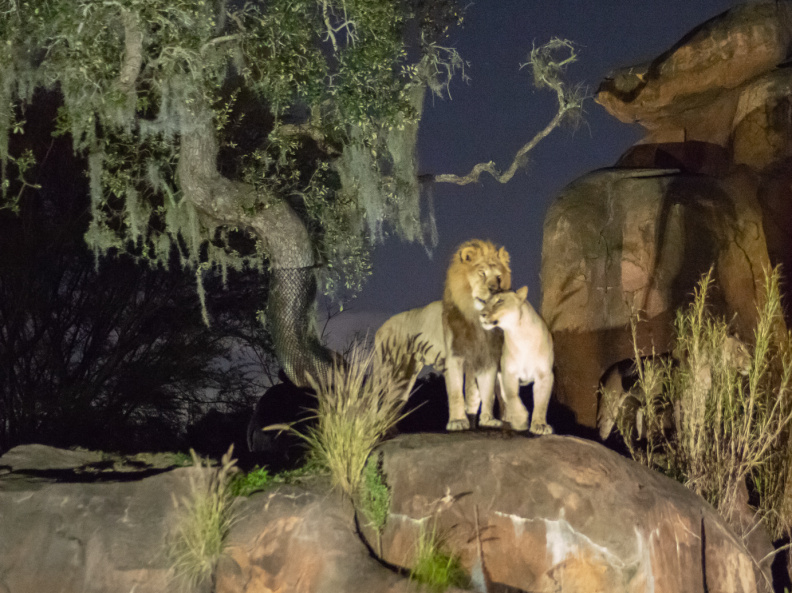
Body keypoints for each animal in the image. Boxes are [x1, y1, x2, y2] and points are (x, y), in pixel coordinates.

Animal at [442, 239, 511, 431]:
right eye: (482, 274)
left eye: (499, 277)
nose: (494, 290)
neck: (476, 318)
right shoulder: (454, 355)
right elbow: (456, 393)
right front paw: (457, 421)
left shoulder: (489, 357)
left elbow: (488, 393)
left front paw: (488, 420)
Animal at [479, 286, 554, 435]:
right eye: (486, 302)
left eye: (500, 301)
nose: (482, 314)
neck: (520, 335)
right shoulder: (509, 373)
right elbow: (512, 397)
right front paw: (520, 420)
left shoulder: (545, 375)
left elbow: (541, 402)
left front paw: (540, 425)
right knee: (492, 398)